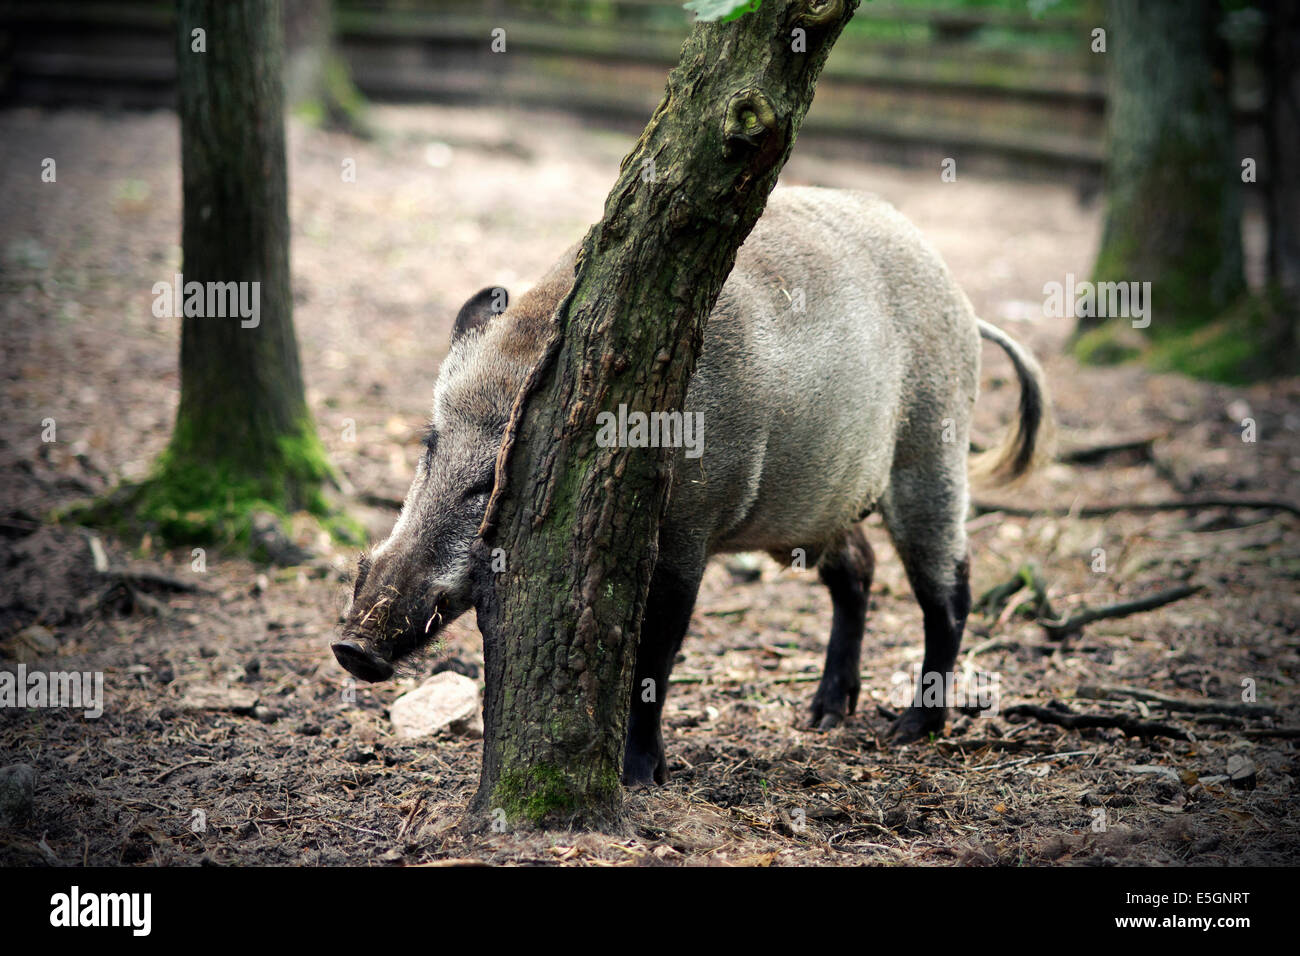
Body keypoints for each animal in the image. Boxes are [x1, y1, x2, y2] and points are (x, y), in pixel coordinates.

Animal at [333, 186, 1051, 786]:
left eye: (493, 480)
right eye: (429, 445)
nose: (352, 647)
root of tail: (966, 308)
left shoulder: (688, 533)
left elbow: (654, 656)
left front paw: (638, 779)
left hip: (933, 453)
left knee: (950, 591)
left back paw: (909, 730)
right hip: (822, 505)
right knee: (859, 570)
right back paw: (822, 716)